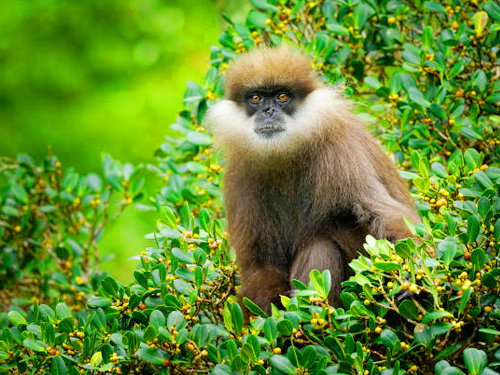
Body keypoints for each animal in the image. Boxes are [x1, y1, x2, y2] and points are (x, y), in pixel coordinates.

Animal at [202, 44, 418, 314]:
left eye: (283, 97)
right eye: (256, 98)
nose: (268, 111)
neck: (287, 153)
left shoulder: (340, 150)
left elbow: (381, 212)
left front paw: (410, 267)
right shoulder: (239, 174)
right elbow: (260, 266)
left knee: (320, 244)